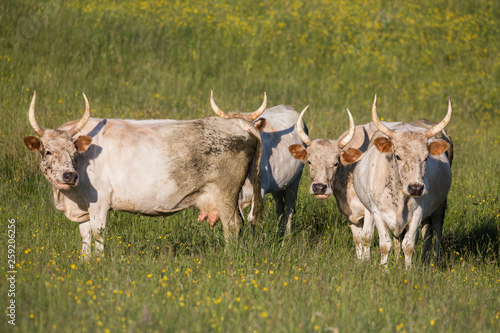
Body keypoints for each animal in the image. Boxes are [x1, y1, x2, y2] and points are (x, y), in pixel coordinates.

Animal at [23, 92, 264, 255]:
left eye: (74, 151)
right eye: (47, 151)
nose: (69, 176)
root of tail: (238, 123)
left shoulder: (99, 202)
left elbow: (98, 233)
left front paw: (98, 264)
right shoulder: (82, 205)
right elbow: (85, 235)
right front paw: (85, 262)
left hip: (225, 194)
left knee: (232, 225)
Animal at [352, 94, 454, 268]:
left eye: (426, 157)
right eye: (398, 156)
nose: (416, 188)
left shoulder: (417, 213)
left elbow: (409, 245)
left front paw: (408, 270)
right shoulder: (378, 213)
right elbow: (385, 244)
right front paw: (384, 269)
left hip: (439, 206)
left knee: (435, 233)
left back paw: (432, 262)